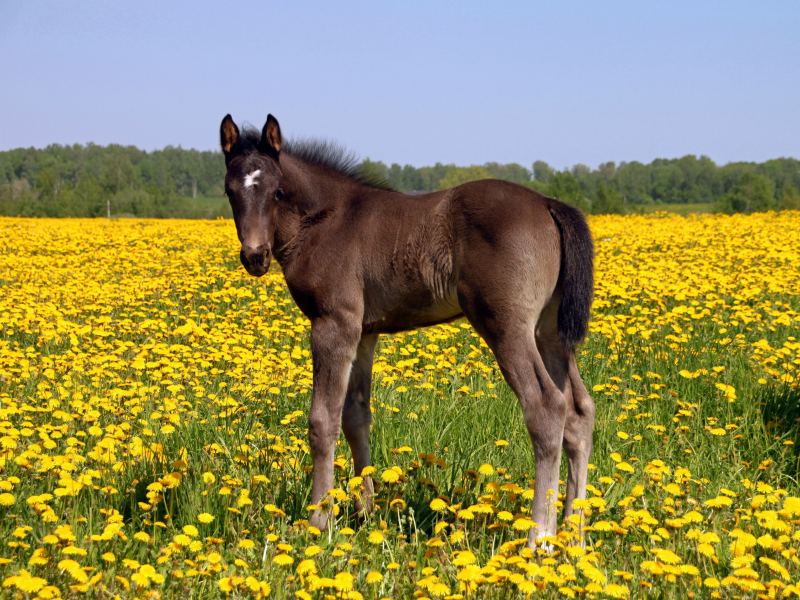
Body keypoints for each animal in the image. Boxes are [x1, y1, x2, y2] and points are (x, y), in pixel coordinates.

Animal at [219, 113, 592, 548]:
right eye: (229, 191)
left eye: (277, 191)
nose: (255, 256)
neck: (325, 220)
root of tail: (550, 204)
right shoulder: (364, 332)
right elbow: (356, 416)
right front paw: (364, 513)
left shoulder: (333, 323)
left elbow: (322, 421)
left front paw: (319, 521)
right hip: (549, 332)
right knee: (579, 412)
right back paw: (575, 535)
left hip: (506, 326)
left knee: (547, 407)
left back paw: (539, 540)